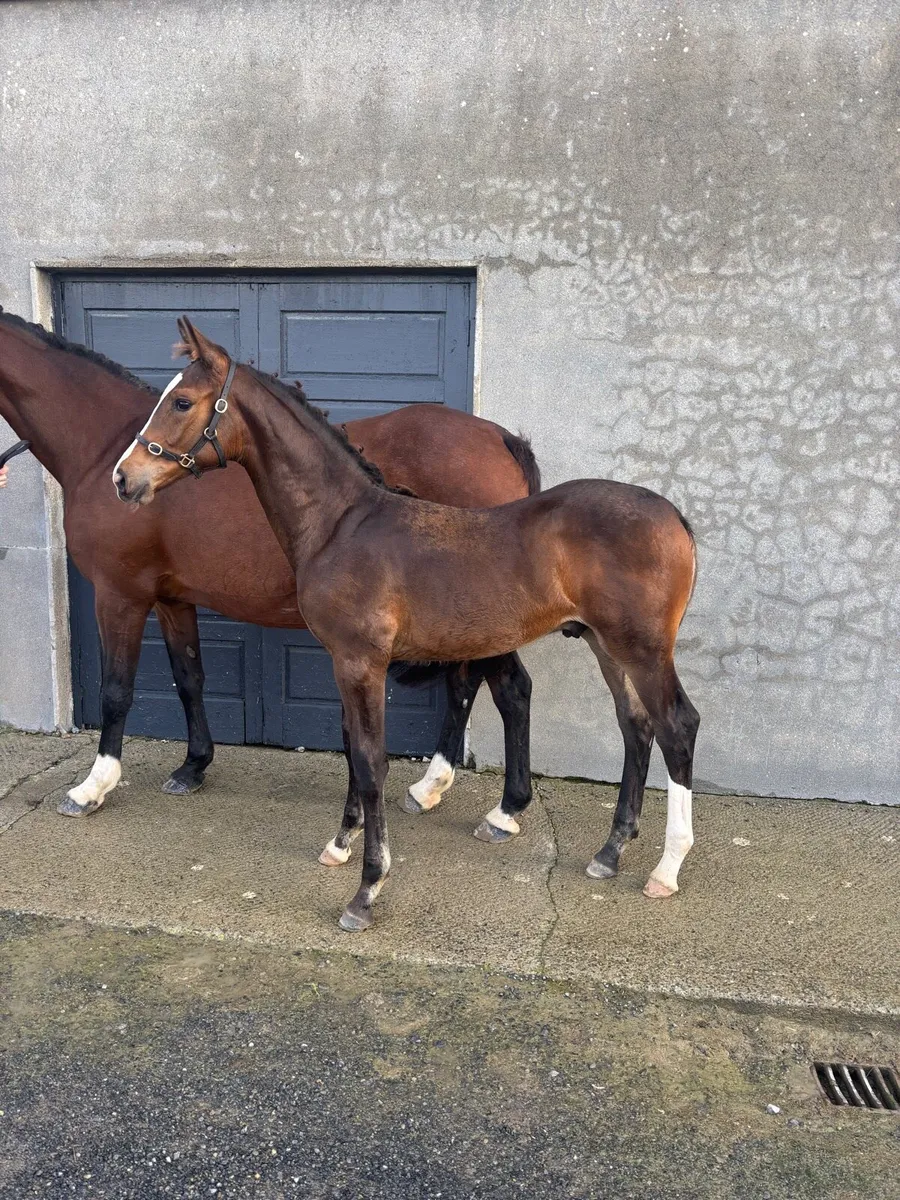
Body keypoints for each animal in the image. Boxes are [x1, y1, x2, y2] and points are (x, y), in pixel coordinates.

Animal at [0, 308, 538, 832]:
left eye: (182, 403)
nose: (125, 479)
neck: (96, 442)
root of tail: (501, 438)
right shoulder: (173, 597)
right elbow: (188, 676)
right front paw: (193, 765)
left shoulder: (120, 594)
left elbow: (116, 689)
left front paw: (92, 786)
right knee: (468, 686)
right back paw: (431, 788)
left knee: (509, 690)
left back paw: (503, 810)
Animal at [115, 319, 700, 932]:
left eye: (182, 400)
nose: (124, 478)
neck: (340, 523)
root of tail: (674, 517)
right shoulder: (344, 662)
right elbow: (352, 748)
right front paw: (340, 845)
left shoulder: (361, 661)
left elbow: (372, 763)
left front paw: (366, 889)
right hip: (605, 645)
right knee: (636, 725)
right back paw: (610, 851)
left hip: (643, 649)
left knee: (676, 726)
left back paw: (665, 869)